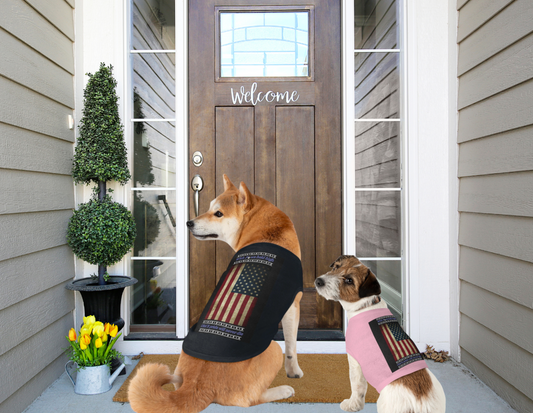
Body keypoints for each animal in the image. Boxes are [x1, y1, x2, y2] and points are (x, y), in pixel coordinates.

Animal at [128, 175, 304, 412]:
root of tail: (198, 385)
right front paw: (294, 372)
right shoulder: (293, 303)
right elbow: (292, 347)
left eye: (218, 213)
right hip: (273, 350)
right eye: (210, 208)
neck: (264, 231)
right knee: (249, 399)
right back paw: (282, 390)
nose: (188, 223)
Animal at [314, 254, 446, 412]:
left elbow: (357, 387)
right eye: (336, 267)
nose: (318, 281)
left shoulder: (355, 361)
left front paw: (352, 405)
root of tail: (421, 403)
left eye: (349, 280)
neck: (365, 305)